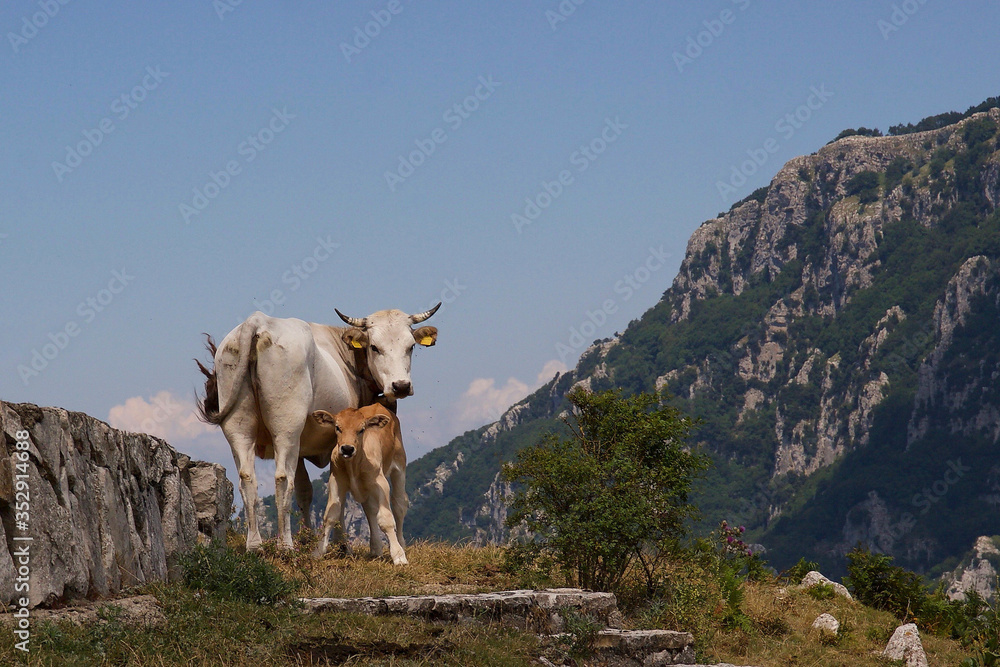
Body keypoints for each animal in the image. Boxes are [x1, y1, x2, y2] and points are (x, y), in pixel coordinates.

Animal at [309, 403, 408, 564]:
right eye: (338, 427)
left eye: (361, 429)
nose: (347, 448)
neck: (353, 465)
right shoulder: (336, 481)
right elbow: (330, 515)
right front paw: (318, 551)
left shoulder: (380, 483)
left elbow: (386, 519)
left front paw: (398, 556)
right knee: (370, 510)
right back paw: (376, 548)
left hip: (399, 467)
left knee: (399, 505)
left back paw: (401, 544)